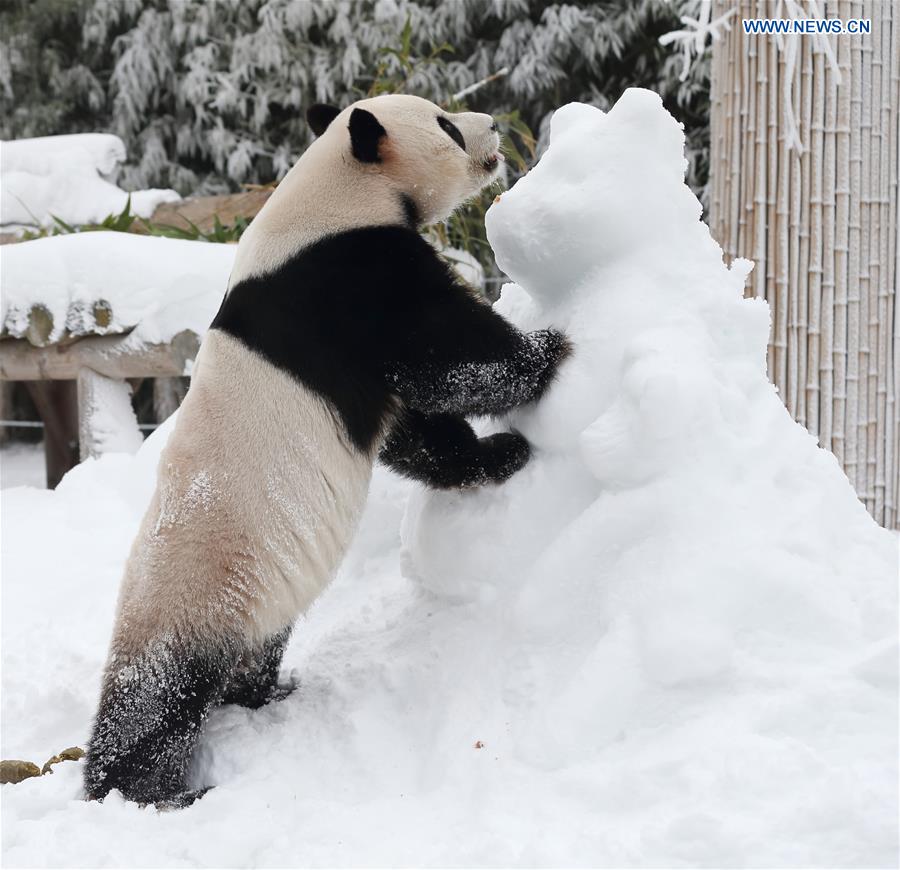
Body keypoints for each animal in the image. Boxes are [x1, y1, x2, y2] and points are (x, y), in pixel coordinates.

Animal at [84, 94, 570, 807]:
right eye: (445, 126)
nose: (491, 130)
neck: (336, 188)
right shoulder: (350, 279)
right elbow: (445, 355)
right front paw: (545, 357)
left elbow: (413, 431)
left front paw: (489, 454)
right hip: (194, 590)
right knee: (156, 697)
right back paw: (147, 792)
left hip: (253, 601)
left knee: (252, 655)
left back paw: (265, 695)